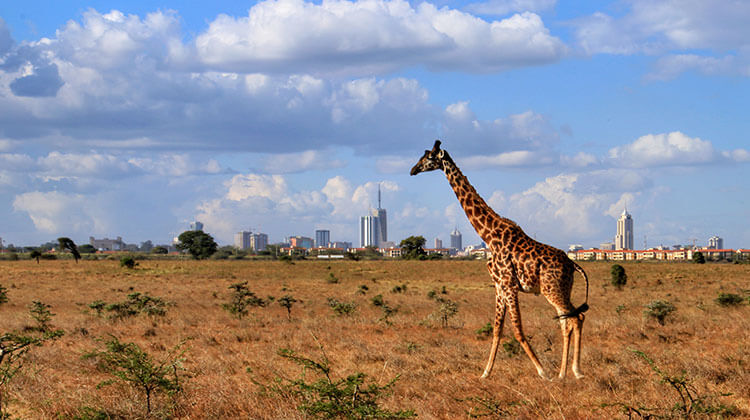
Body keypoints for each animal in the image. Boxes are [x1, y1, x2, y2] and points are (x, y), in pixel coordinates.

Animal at [414, 141, 592, 380]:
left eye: (429, 157)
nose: (413, 170)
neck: (489, 235)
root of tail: (573, 264)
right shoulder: (498, 286)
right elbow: (497, 329)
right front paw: (485, 373)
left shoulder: (509, 285)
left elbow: (517, 330)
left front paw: (542, 371)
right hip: (562, 289)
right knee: (567, 321)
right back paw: (563, 373)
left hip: (552, 289)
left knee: (575, 318)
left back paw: (575, 371)